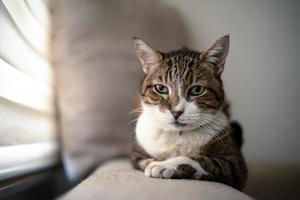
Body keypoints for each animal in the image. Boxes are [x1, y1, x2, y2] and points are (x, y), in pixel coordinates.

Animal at [130, 34, 247, 191]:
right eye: (161, 88)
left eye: (197, 90)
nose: (176, 112)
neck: (177, 135)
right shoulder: (136, 154)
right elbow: (143, 161)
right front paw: (154, 161)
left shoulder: (235, 165)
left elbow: (199, 159)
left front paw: (164, 165)